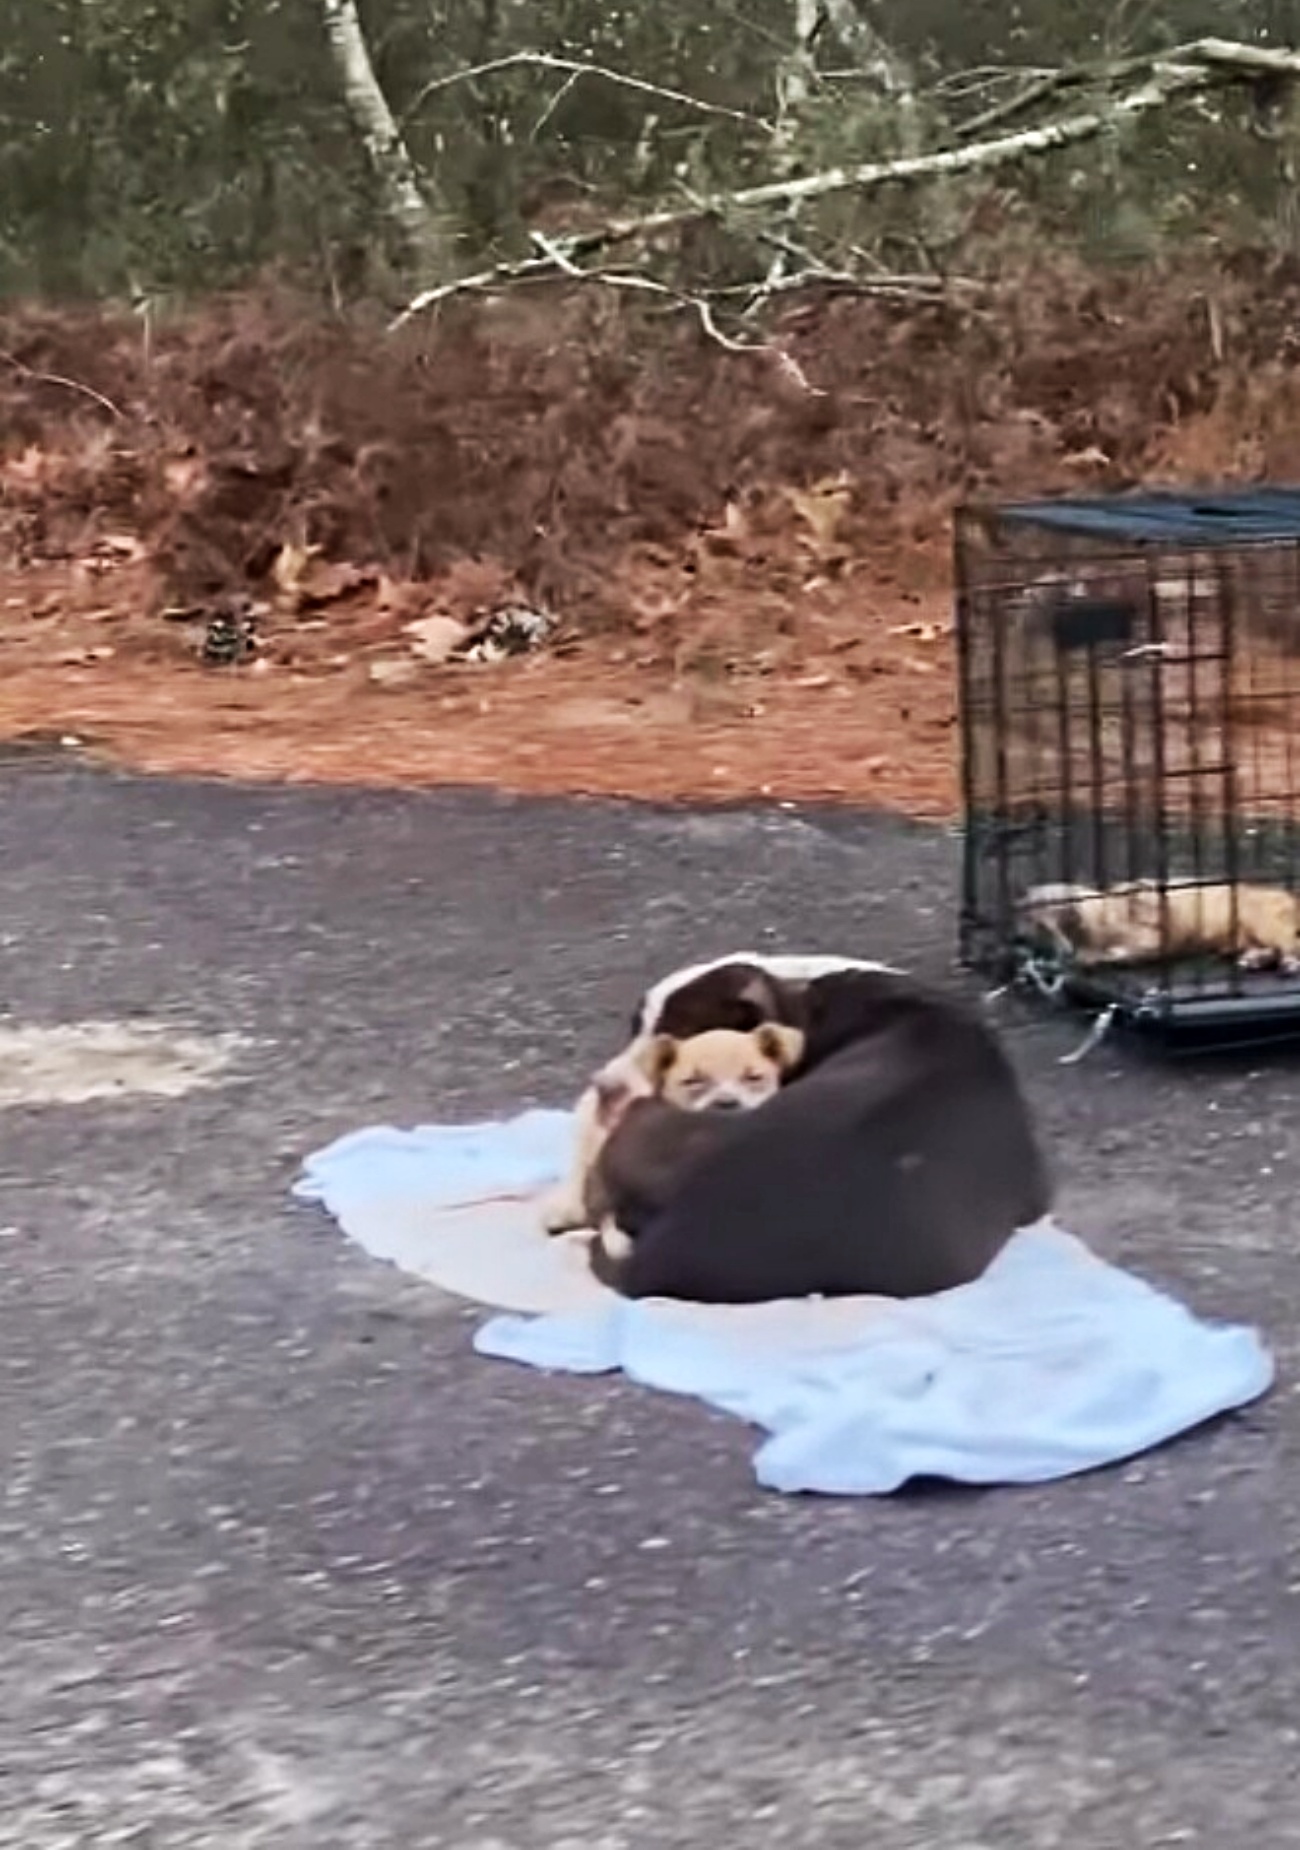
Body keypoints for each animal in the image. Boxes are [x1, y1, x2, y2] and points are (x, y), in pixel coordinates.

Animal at [1028, 876, 1300, 969]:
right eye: (1040, 929)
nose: (1063, 952)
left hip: (1265, 922)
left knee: (1289, 944)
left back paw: (1288, 962)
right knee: (1270, 948)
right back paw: (1254, 959)